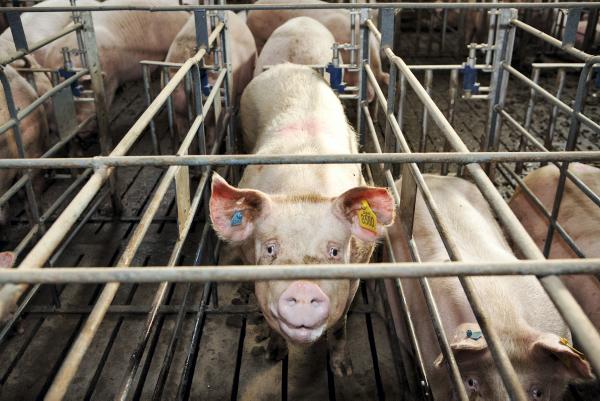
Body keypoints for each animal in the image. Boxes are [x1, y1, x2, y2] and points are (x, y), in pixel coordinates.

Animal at [209, 64, 395, 376]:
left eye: (334, 251)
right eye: (271, 249)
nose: (303, 287)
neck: (303, 190)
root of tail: (287, 66)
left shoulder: (358, 270)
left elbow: (341, 323)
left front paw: (343, 370)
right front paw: (273, 355)